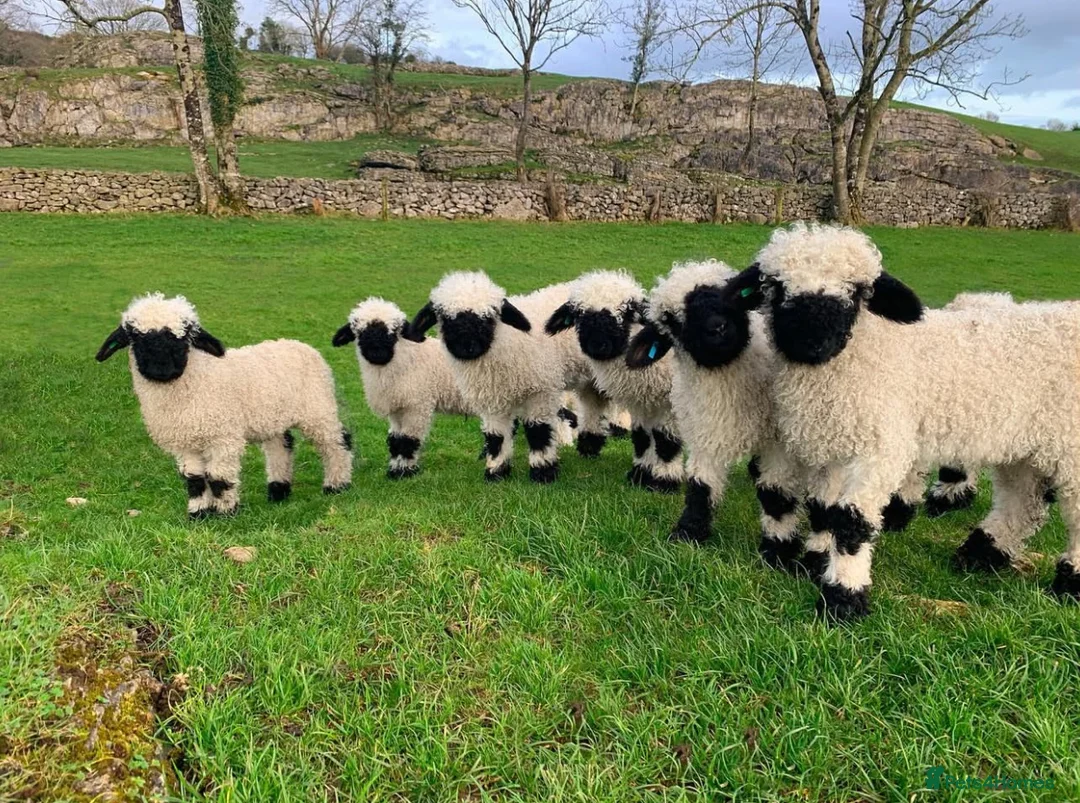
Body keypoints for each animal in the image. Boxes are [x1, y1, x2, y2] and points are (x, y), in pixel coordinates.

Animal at [97, 293, 352, 518]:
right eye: (136, 337)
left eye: (184, 337)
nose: (162, 369)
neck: (196, 380)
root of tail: (300, 344)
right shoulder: (185, 443)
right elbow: (194, 480)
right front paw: (198, 513)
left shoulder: (223, 438)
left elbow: (219, 478)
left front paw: (225, 512)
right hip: (273, 417)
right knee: (281, 446)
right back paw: (278, 491)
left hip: (318, 407)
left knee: (337, 442)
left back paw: (337, 485)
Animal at [332, 297, 471, 479]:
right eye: (359, 332)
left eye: (394, 332)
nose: (377, 354)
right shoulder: (397, 408)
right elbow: (395, 441)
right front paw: (394, 470)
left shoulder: (418, 406)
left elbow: (407, 441)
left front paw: (404, 473)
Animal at [407, 272, 610, 483]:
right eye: (445, 318)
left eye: (489, 317)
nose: (467, 347)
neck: (507, 342)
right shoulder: (493, 399)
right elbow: (496, 437)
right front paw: (496, 473)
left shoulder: (541, 391)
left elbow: (538, 431)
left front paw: (542, 472)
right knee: (593, 405)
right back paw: (589, 448)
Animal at [544, 270, 683, 493]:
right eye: (579, 315)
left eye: (626, 313)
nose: (597, 345)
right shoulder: (642, 403)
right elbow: (642, 437)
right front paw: (640, 476)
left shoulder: (669, 404)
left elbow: (666, 443)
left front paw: (664, 482)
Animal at [754, 221, 1080, 622]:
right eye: (776, 286)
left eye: (857, 292)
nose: (810, 342)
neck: (866, 351)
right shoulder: (834, 442)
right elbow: (823, 511)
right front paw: (814, 562)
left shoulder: (880, 447)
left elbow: (851, 522)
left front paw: (842, 597)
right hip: (1025, 444)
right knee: (1023, 503)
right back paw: (979, 555)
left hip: (1071, 446)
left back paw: (1068, 584)